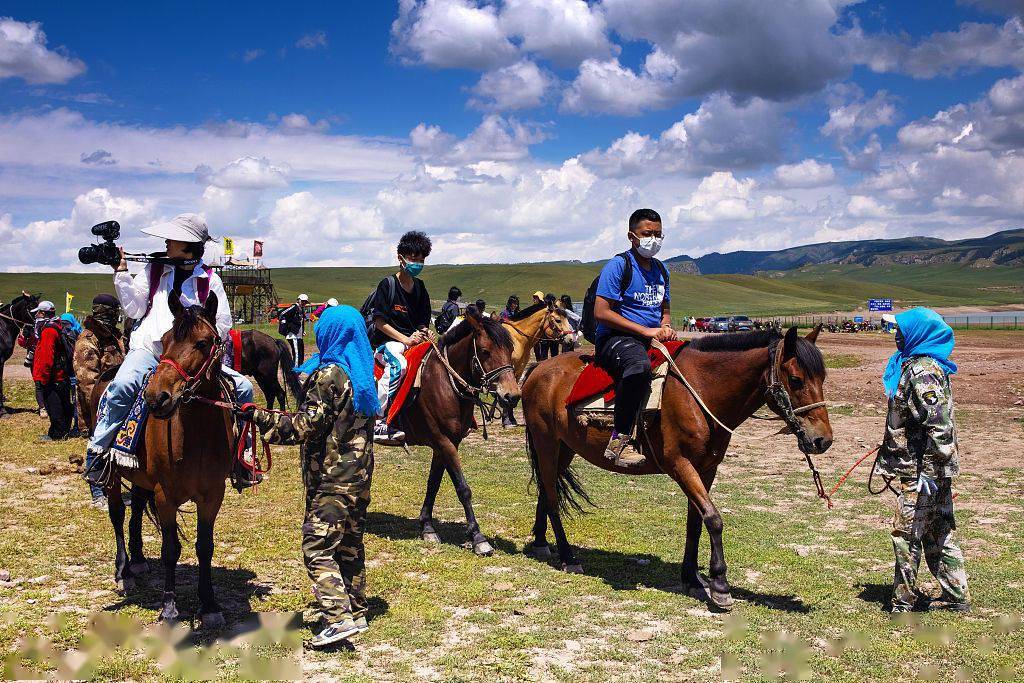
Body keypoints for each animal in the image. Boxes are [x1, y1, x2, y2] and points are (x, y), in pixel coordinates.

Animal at [99, 290, 234, 626]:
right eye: (165, 339)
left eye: (204, 342)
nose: (157, 397)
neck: (197, 436)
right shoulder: (165, 495)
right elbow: (170, 550)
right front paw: (169, 607)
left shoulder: (213, 495)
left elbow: (205, 547)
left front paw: (209, 605)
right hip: (113, 475)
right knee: (118, 514)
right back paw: (123, 573)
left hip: (139, 477)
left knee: (135, 510)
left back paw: (137, 560)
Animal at [393, 305, 520, 557]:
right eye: (485, 351)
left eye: (511, 349)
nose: (511, 396)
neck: (445, 383)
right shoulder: (444, 441)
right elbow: (463, 488)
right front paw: (478, 538)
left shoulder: (446, 443)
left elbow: (433, 483)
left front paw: (427, 528)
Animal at [520, 327, 831, 610]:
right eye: (796, 379)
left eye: (822, 378)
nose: (823, 440)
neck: (701, 390)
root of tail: (538, 370)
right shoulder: (679, 464)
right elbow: (713, 519)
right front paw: (720, 586)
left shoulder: (706, 469)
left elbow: (696, 522)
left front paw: (692, 579)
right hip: (546, 441)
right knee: (551, 496)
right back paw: (567, 557)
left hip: (565, 448)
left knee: (546, 489)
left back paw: (541, 542)